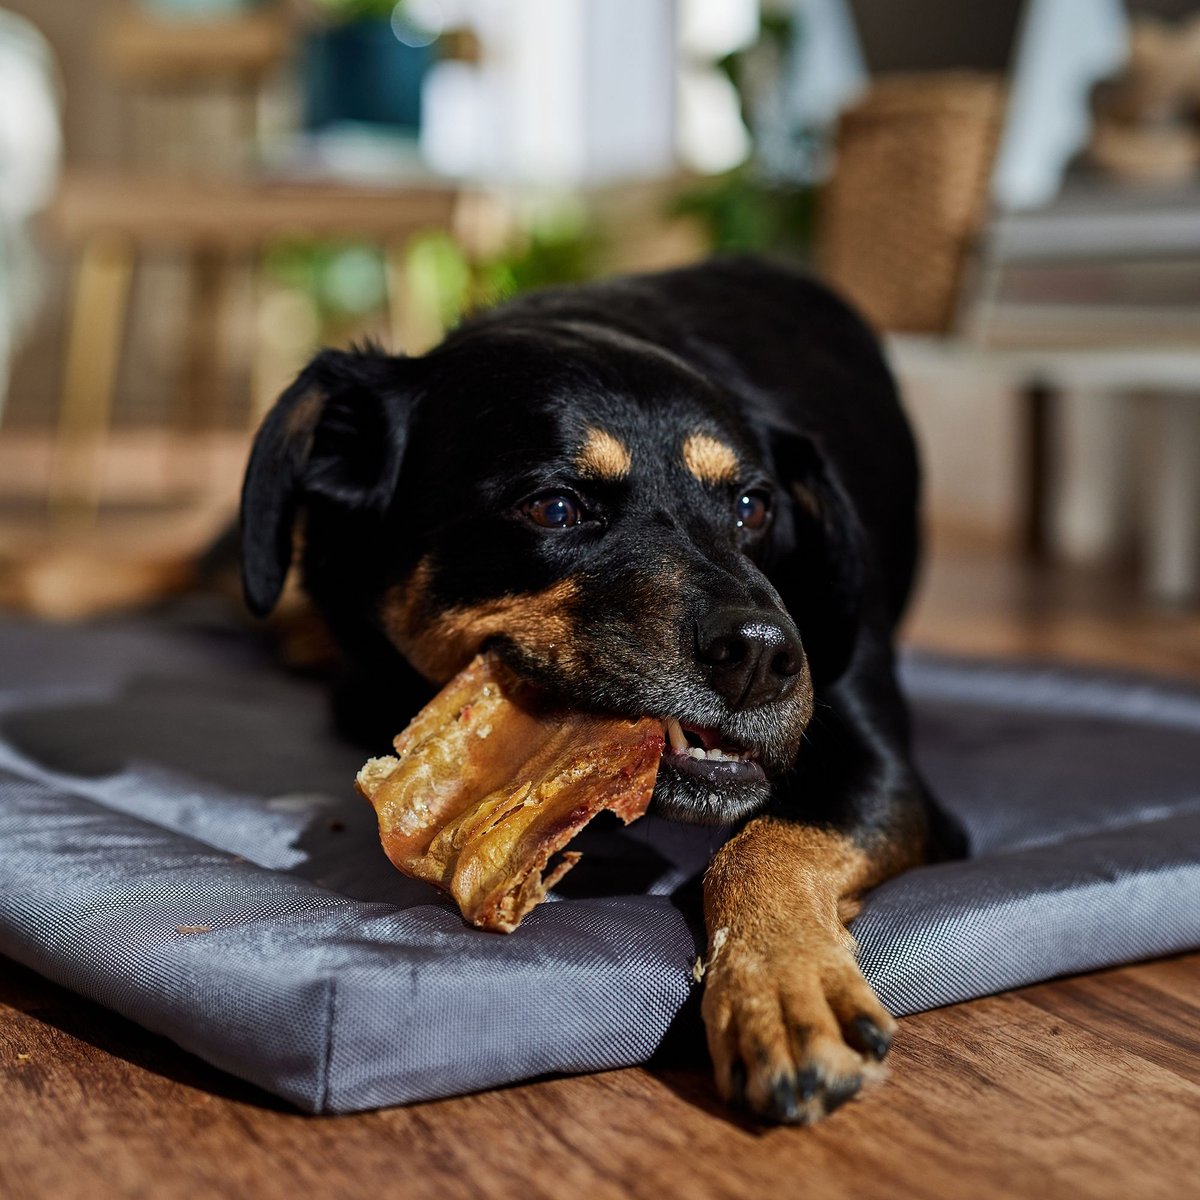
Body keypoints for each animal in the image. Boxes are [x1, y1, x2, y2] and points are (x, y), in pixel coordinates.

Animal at [241, 253, 964, 1123]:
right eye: (554, 507)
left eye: (754, 507)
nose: (763, 657)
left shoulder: (885, 770)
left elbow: (764, 844)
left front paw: (784, 988)